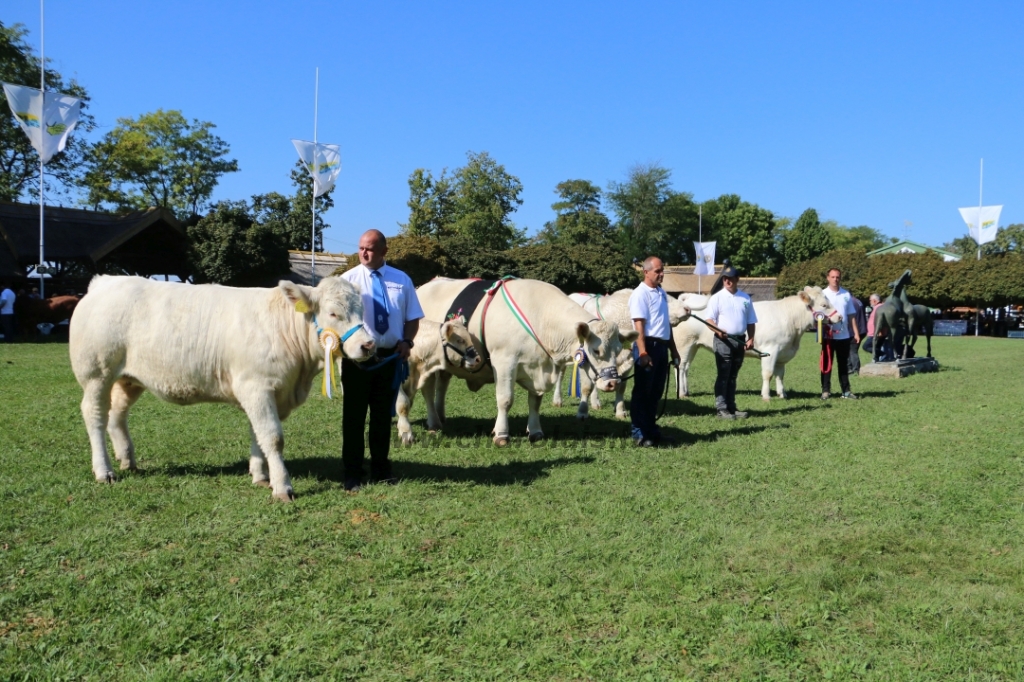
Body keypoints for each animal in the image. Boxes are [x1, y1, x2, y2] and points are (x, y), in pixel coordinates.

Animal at [71, 274, 376, 501]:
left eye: (361, 310)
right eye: (333, 313)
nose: (368, 345)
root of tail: (106, 281)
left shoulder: (264, 393)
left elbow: (257, 434)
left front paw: (260, 476)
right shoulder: (256, 387)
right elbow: (273, 437)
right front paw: (282, 486)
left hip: (128, 379)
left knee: (117, 415)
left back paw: (127, 460)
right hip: (96, 373)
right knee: (95, 416)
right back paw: (104, 471)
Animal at [395, 315, 483, 444]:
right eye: (460, 340)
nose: (477, 359)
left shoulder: (427, 377)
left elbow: (428, 397)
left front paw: (434, 425)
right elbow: (403, 405)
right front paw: (406, 433)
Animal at [413, 278, 634, 446]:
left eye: (618, 350)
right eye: (596, 350)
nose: (613, 383)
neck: (539, 318)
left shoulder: (539, 367)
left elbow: (535, 402)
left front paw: (535, 431)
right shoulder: (504, 362)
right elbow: (505, 399)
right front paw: (501, 434)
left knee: (442, 384)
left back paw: (440, 416)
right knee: (427, 390)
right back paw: (433, 423)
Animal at [557, 284, 692, 413]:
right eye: (666, 300)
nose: (688, 309)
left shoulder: (628, 361)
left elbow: (621, 387)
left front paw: (620, 411)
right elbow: (590, 384)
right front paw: (595, 404)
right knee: (560, 374)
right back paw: (558, 400)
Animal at [671, 284, 839, 399]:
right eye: (824, 305)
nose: (840, 317)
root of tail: (688, 298)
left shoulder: (782, 354)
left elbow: (780, 375)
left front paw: (782, 394)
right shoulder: (770, 350)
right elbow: (768, 373)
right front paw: (766, 396)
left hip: (694, 345)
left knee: (686, 367)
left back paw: (686, 391)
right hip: (684, 344)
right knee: (680, 367)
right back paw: (681, 392)